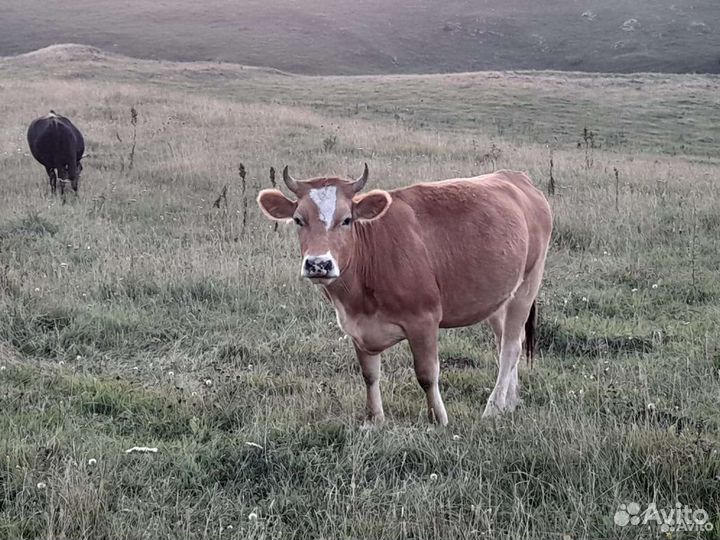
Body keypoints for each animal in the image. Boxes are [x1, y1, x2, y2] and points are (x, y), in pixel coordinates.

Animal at [257, 165, 552, 425]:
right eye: (298, 220)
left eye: (346, 220)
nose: (319, 264)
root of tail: (516, 178)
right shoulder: (357, 326)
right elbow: (369, 375)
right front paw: (374, 419)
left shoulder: (424, 319)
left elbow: (426, 374)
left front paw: (438, 419)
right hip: (498, 297)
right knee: (508, 340)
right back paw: (510, 401)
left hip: (528, 283)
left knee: (511, 348)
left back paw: (494, 407)